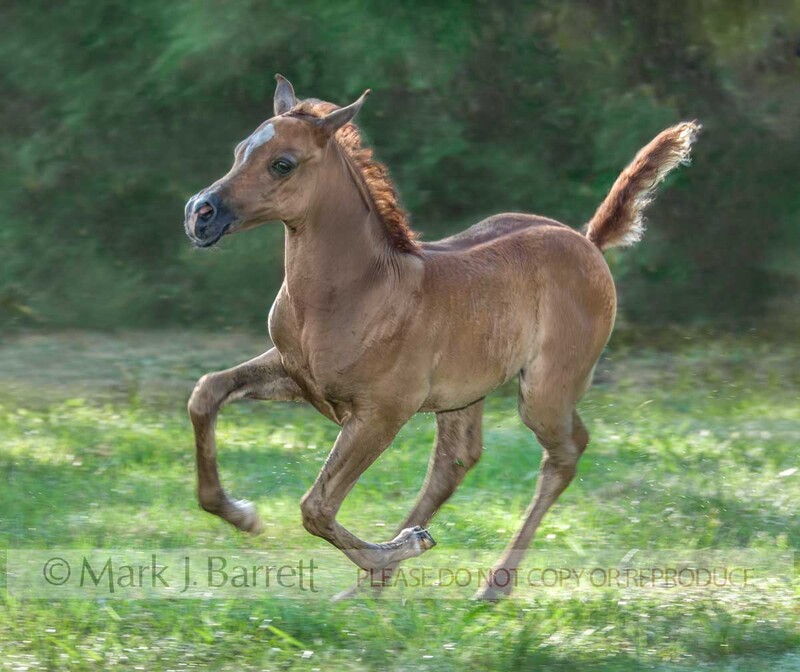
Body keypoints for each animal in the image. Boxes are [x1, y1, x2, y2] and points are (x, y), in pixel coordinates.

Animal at [184, 74, 699, 599]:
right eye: (240, 150)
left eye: (282, 163)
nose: (201, 213)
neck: (358, 288)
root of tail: (589, 241)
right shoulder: (296, 375)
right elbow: (206, 393)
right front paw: (241, 516)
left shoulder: (382, 414)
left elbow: (316, 507)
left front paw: (402, 548)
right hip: (465, 394)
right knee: (456, 462)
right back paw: (372, 584)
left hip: (544, 391)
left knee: (565, 453)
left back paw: (490, 582)